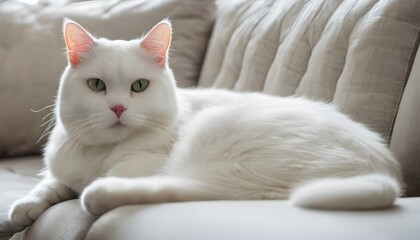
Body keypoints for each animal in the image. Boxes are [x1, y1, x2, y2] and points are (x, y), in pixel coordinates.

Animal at [9, 19, 404, 229]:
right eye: (96, 85)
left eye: (139, 86)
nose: (118, 107)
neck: (98, 154)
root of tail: (381, 166)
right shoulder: (60, 171)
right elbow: (48, 184)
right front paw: (24, 207)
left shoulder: (143, 162)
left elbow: (104, 178)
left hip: (217, 139)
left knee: (186, 187)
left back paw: (101, 196)